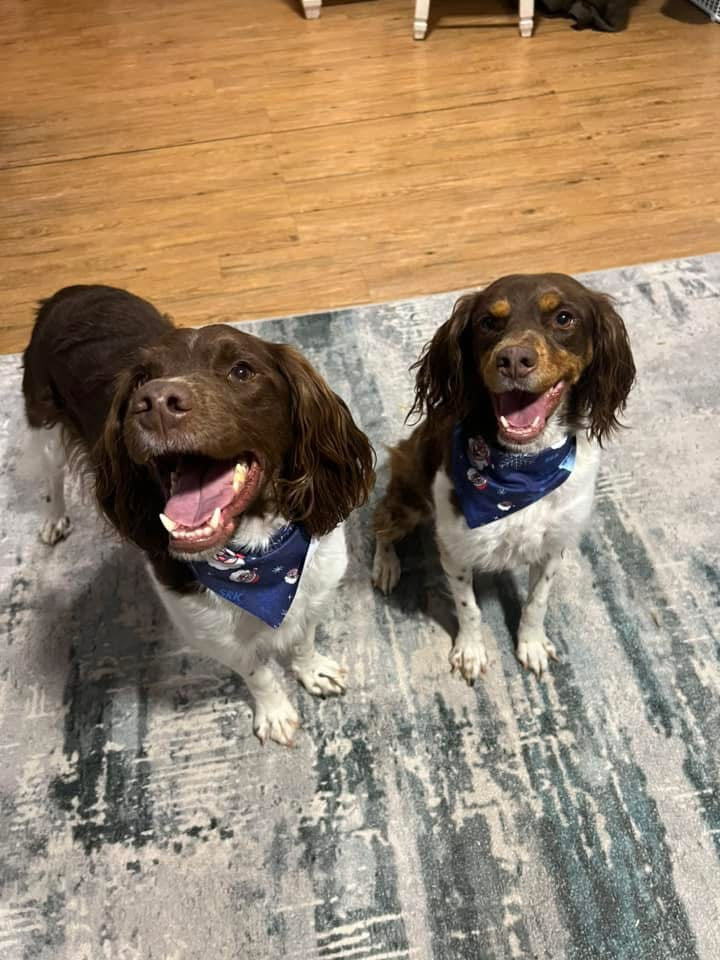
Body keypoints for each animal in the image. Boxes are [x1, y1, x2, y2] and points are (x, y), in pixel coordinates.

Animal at [23, 284, 374, 752]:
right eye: (141, 379)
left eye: (241, 371)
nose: (154, 403)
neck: (259, 559)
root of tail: (67, 291)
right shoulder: (208, 629)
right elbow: (257, 670)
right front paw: (275, 712)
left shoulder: (316, 582)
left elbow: (302, 638)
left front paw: (312, 670)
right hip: (41, 424)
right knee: (52, 480)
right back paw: (54, 519)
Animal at [374, 274, 632, 680]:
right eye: (488, 322)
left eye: (563, 317)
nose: (513, 360)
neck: (521, 469)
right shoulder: (456, 548)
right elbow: (469, 608)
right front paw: (470, 651)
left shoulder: (553, 545)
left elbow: (537, 602)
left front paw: (531, 645)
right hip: (410, 492)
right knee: (380, 521)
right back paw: (385, 566)